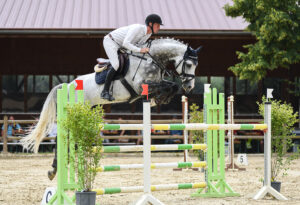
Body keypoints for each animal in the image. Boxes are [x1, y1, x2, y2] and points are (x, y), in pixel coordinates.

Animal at [20, 38, 199, 154]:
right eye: (189, 64)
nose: (190, 87)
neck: (150, 60)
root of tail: (67, 86)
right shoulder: (140, 86)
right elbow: (168, 86)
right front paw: (161, 98)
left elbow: (172, 86)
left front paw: (161, 99)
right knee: (64, 136)